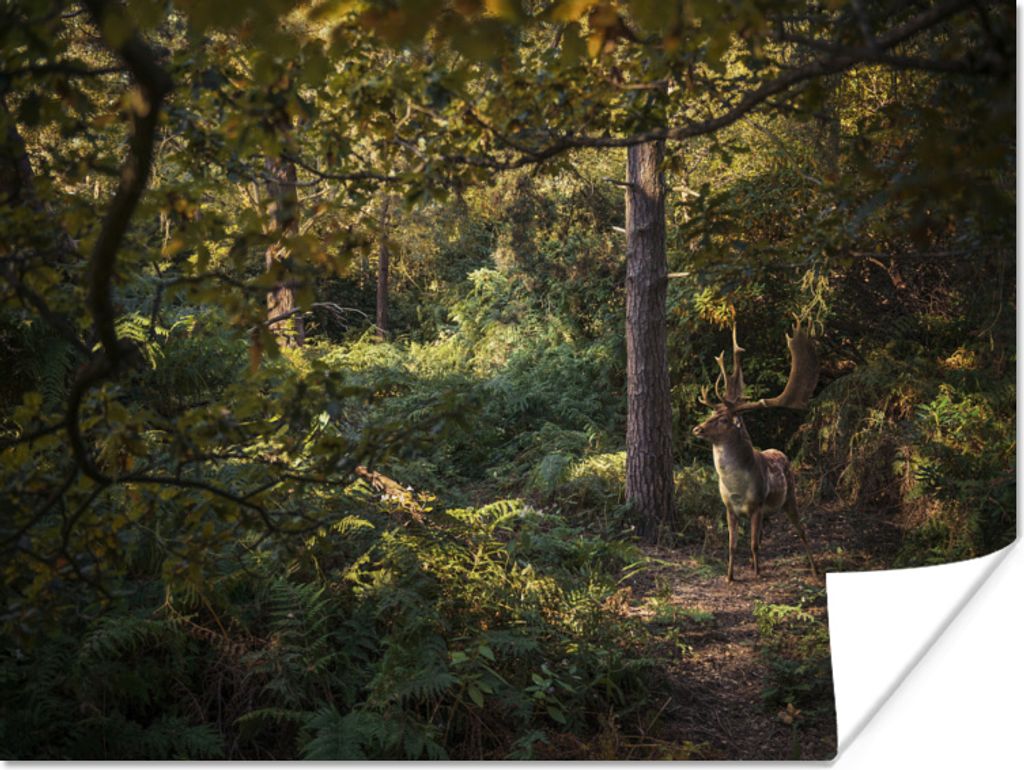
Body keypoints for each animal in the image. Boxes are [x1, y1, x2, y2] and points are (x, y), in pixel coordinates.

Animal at [691, 319, 820, 583]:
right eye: (712, 413)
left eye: (724, 419)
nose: (697, 428)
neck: (736, 487)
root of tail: (781, 453)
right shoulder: (728, 507)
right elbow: (732, 545)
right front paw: (730, 576)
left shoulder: (757, 505)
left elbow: (753, 544)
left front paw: (758, 575)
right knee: (766, 533)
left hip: (790, 496)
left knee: (802, 531)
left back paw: (814, 569)